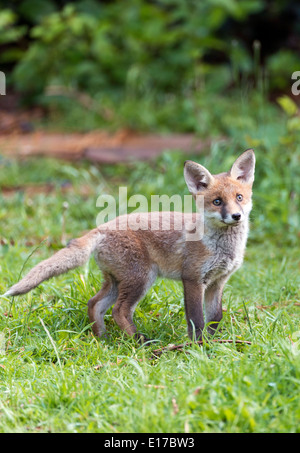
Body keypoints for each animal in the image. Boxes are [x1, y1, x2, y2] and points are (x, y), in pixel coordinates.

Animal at [2, 150, 255, 340]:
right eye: (217, 202)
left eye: (239, 197)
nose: (236, 216)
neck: (222, 247)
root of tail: (103, 226)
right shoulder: (192, 278)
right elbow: (196, 320)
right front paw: (198, 347)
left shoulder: (218, 281)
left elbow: (216, 317)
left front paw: (214, 343)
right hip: (141, 279)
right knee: (119, 311)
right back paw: (140, 342)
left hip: (117, 280)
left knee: (94, 303)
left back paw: (102, 339)